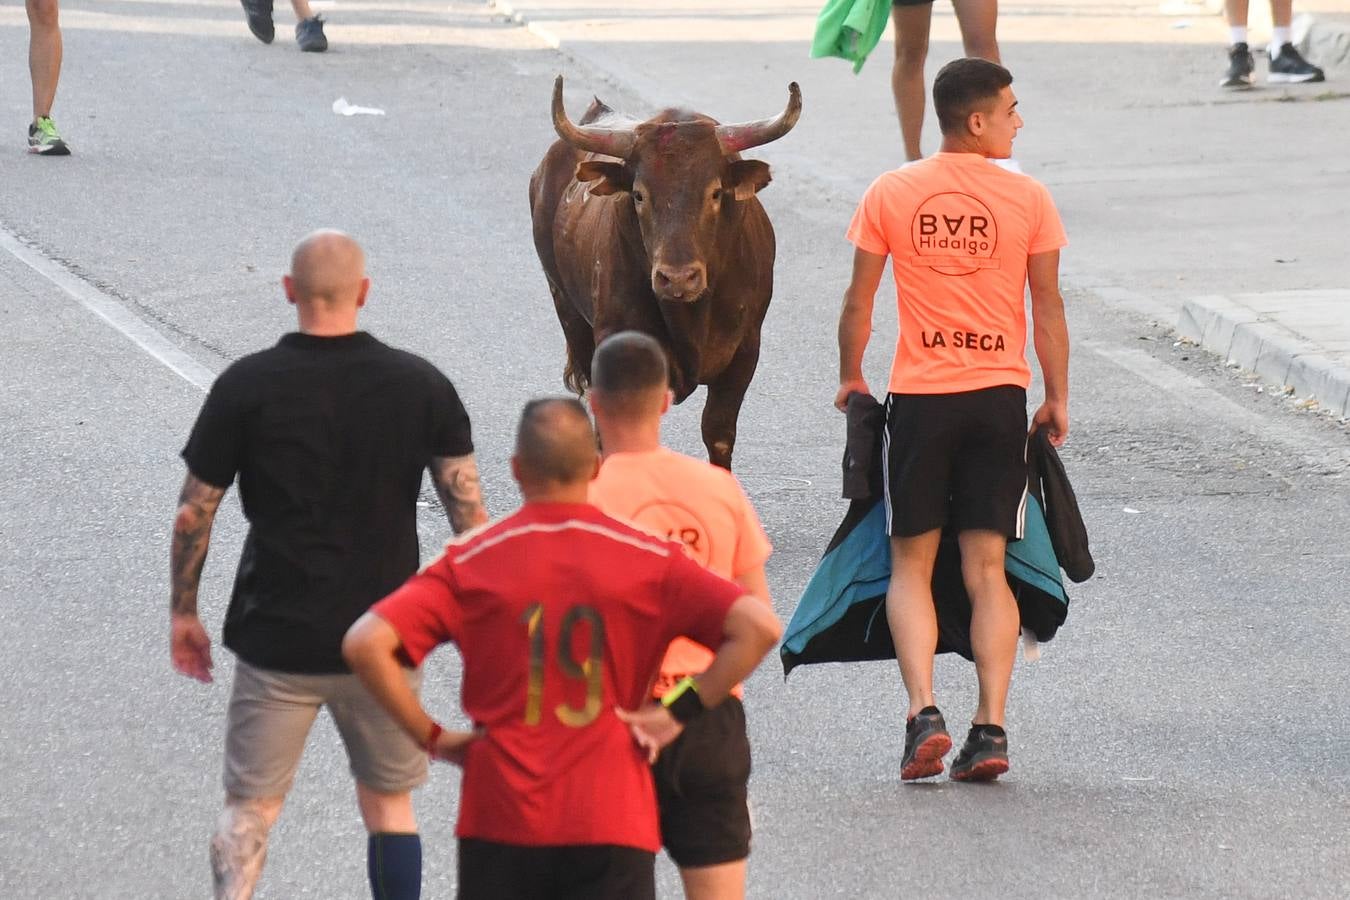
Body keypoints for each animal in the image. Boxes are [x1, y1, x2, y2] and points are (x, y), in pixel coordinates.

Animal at [529, 76, 799, 472]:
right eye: (639, 195)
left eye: (715, 192)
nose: (678, 278)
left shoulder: (745, 353)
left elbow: (718, 432)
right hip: (566, 308)